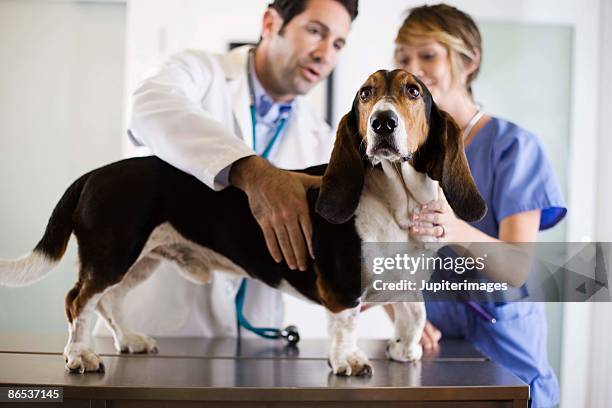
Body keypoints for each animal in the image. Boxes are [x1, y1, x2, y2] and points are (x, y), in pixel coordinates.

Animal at [2, 69, 486, 376]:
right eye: (365, 94)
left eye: (413, 91)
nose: (382, 123)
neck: (395, 200)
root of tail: (94, 174)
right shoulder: (343, 286)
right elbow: (347, 322)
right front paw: (348, 361)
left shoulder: (404, 279)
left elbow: (415, 314)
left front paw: (404, 350)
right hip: (112, 252)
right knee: (78, 301)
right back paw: (80, 355)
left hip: (141, 258)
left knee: (110, 301)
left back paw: (131, 339)